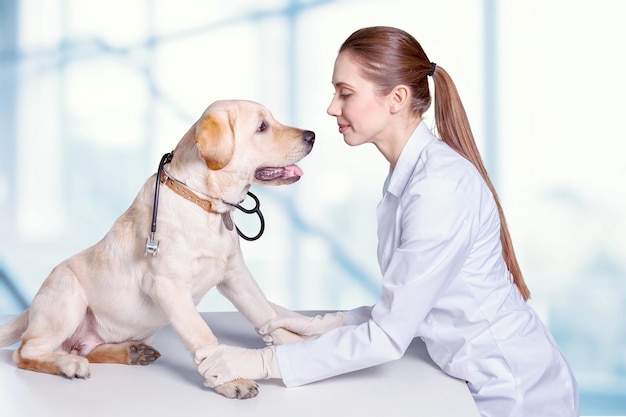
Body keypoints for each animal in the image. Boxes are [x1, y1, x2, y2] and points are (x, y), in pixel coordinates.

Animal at [0, 99, 312, 398]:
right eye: (262, 126)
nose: (312, 136)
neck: (203, 202)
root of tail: (32, 307)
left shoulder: (236, 276)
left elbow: (268, 316)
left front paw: (297, 346)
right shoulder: (167, 286)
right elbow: (203, 335)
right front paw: (230, 379)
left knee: (84, 348)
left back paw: (130, 351)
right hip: (66, 293)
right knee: (26, 352)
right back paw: (69, 364)